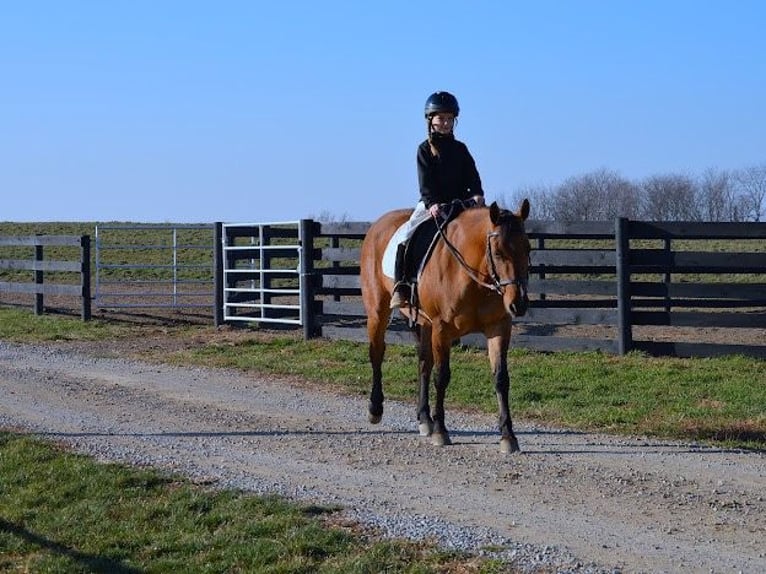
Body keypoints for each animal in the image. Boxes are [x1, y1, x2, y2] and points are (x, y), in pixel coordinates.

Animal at [362, 200, 532, 456]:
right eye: (498, 252)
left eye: (528, 249)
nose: (518, 303)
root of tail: (377, 226)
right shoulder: (442, 329)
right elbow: (441, 376)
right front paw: (441, 431)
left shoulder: (499, 328)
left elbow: (501, 378)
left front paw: (508, 436)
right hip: (377, 312)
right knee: (377, 354)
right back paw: (375, 409)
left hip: (424, 325)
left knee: (423, 363)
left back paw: (424, 419)